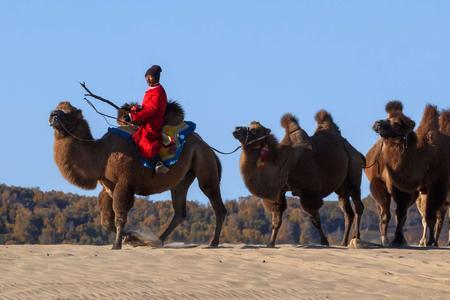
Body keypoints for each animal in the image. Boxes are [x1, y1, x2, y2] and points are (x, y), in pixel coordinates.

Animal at [49, 102, 227, 250]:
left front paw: (117, 245)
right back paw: (158, 240)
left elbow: (120, 215)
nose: (53, 115)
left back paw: (213, 242)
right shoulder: (108, 188)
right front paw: (132, 238)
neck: (102, 154)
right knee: (179, 212)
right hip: (182, 180)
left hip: (204, 163)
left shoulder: (125, 183)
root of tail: (208, 146)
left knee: (216, 203)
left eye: (69, 112)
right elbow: (106, 220)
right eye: (58, 107)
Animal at [232, 110, 366, 246]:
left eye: (254, 131)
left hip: (354, 176)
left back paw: (356, 236)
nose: (236, 129)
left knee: (358, 207)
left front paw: (324, 242)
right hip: (341, 187)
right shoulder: (279, 192)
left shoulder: (309, 191)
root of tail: (356, 152)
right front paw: (271, 243)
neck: (283, 163)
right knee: (348, 212)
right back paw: (343, 243)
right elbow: (276, 221)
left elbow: (315, 220)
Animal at [372, 101, 450, 246]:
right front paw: (397, 240)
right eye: (387, 116)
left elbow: (431, 216)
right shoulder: (413, 188)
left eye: (397, 123)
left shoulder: (438, 185)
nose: (377, 124)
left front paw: (431, 242)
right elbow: (401, 214)